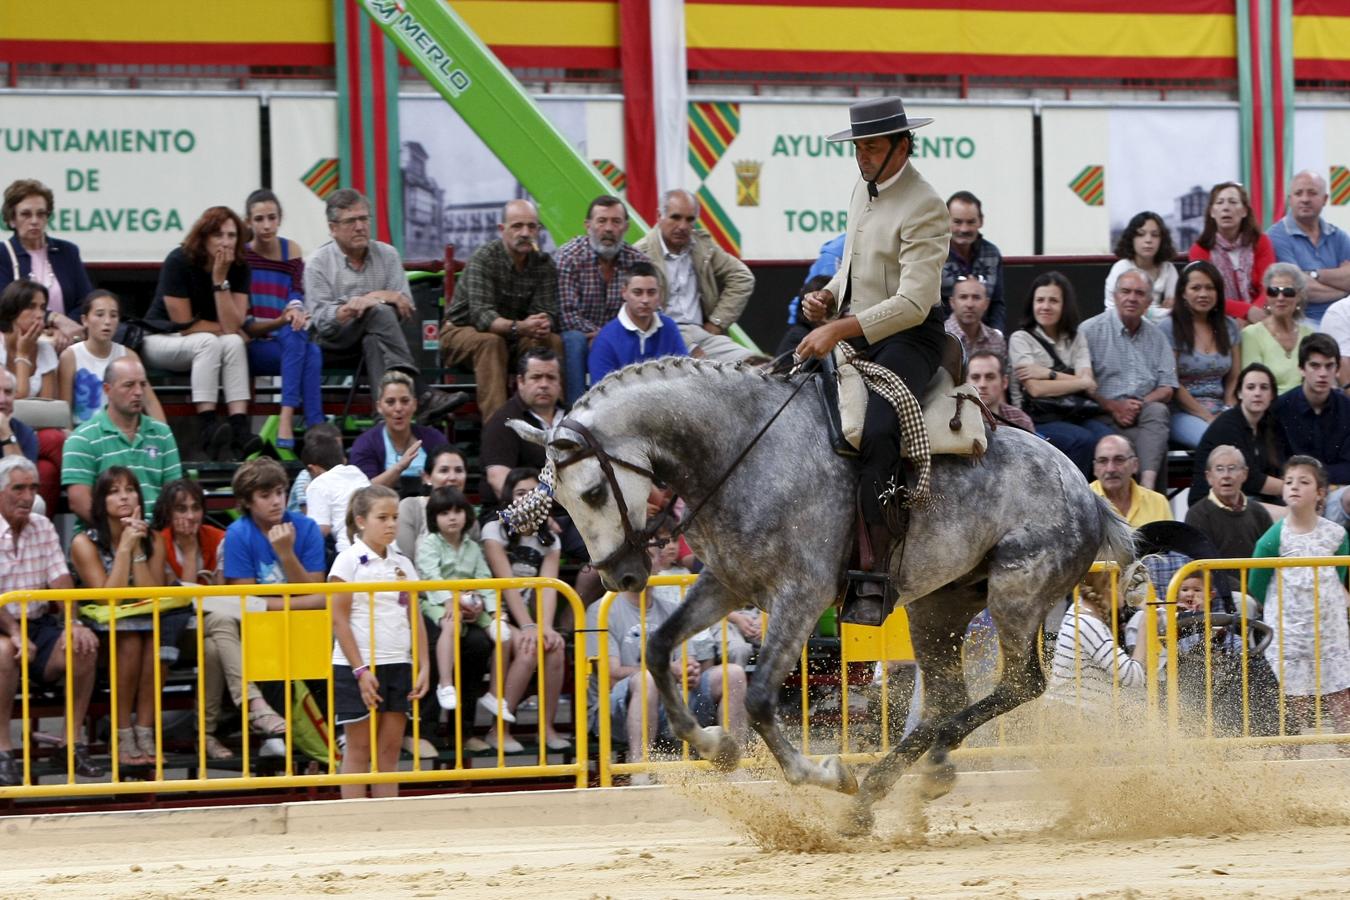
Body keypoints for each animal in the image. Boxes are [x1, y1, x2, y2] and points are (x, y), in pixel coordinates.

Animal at [510, 356, 1134, 831]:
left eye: (593, 492)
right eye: (558, 502)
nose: (620, 578)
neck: (742, 451)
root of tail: (1087, 492)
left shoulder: (800, 596)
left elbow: (761, 697)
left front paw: (823, 773)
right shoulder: (728, 582)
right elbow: (660, 647)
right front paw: (714, 745)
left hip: (1014, 594)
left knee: (1018, 684)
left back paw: (913, 768)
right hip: (940, 606)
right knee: (948, 698)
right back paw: (891, 785)